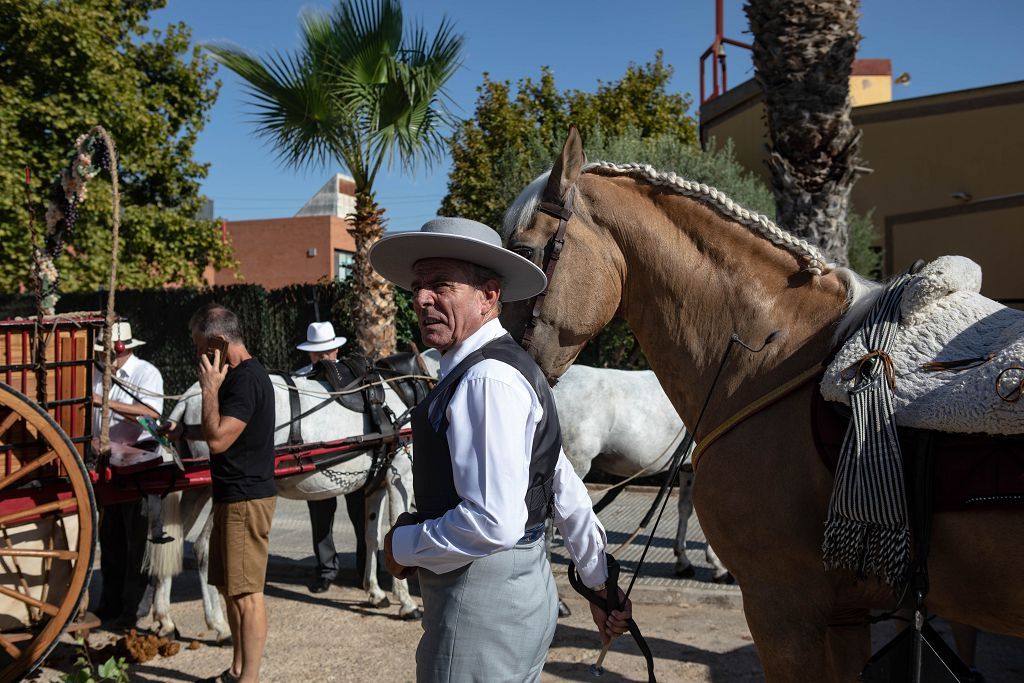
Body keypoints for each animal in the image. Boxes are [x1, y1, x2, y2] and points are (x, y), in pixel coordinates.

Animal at [138, 356, 438, 643]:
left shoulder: (376, 484)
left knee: (173, 544)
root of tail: (187, 399)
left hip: (197, 489)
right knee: (203, 548)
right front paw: (407, 603)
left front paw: (375, 592)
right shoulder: (401, 474)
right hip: (224, 490)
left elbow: (372, 537)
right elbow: (396, 534)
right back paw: (219, 626)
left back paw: (165, 621)